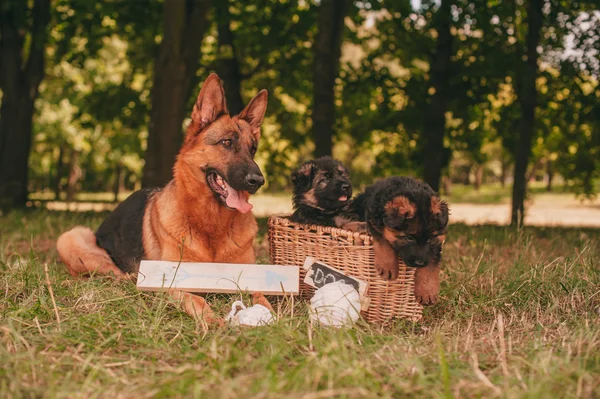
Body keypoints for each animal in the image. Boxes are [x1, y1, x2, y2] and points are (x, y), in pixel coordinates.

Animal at [56, 73, 272, 326]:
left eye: (253, 149)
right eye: (227, 142)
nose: (258, 180)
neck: (211, 226)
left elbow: (262, 295)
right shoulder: (176, 284)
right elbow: (198, 300)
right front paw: (214, 322)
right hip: (71, 238)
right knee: (114, 274)